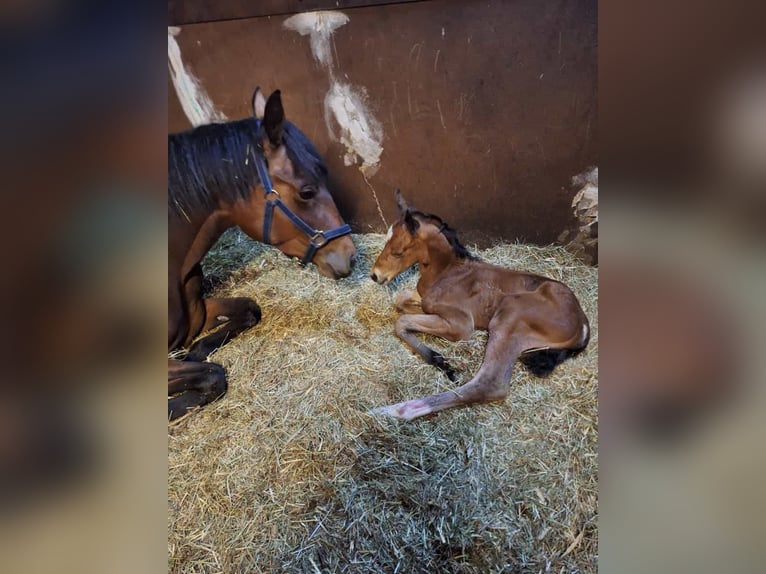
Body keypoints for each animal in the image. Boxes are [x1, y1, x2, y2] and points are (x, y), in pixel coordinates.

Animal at [168, 89, 356, 424]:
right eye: (306, 192)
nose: (350, 256)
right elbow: (213, 376)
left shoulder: (198, 315)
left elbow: (249, 309)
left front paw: (196, 350)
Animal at [368, 191, 592, 420]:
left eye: (398, 251)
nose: (375, 275)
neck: (447, 272)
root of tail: (582, 322)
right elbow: (401, 301)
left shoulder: (462, 325)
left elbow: (402, 321)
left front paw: (444, 364)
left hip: (510, 316)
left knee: (489, 384)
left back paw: (391, 411)